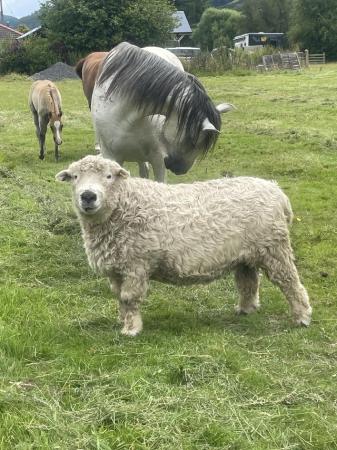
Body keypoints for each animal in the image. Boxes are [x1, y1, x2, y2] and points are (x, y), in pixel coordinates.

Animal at [56, 156, 312, 336]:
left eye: (109, 176)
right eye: (75, 177)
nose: (88, 196)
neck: (123, 206)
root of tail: (277, 191)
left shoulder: (136, 264)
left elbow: (129, 298)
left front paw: (131, 329)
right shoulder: (118, 268)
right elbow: (119, 297)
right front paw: (123, 320)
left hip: (274, 247)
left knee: (289, 282)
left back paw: (302, 316)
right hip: (245, 253)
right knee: (248, 281)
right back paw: (246, 310)